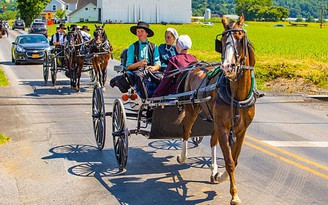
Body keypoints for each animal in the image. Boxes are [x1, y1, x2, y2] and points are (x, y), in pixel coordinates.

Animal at [177, 14, 256, 203]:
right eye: (223, 39)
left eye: (240, 37)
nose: (227, 66)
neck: (238, 96)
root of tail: (196, 66)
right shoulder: (223, 127)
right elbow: (229, 161)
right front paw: (234, 195)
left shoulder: (241, 130)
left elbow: (234, 159)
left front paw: (219, 175)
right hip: (192, 110)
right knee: (186, 131)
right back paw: (183, 156)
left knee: (212, 140)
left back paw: (213, 170)